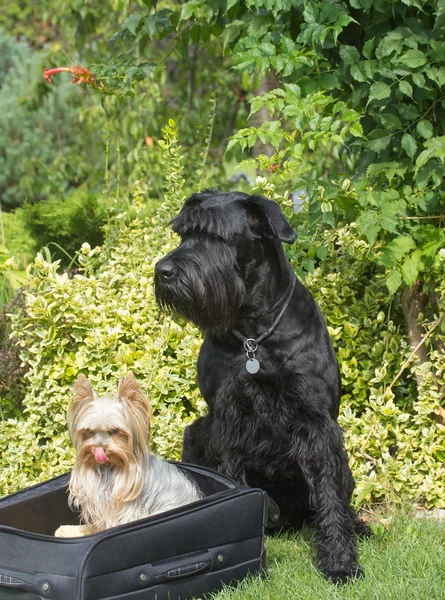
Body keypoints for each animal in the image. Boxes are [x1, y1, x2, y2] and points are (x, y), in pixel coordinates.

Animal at [153, 190, 368, 584]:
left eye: (216, 236)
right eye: (184, 234)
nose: (164, 271)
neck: (254, 332)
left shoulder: (317, 421)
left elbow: (329, 493)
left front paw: (340, 562)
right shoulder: (226, 421)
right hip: (195, 433)